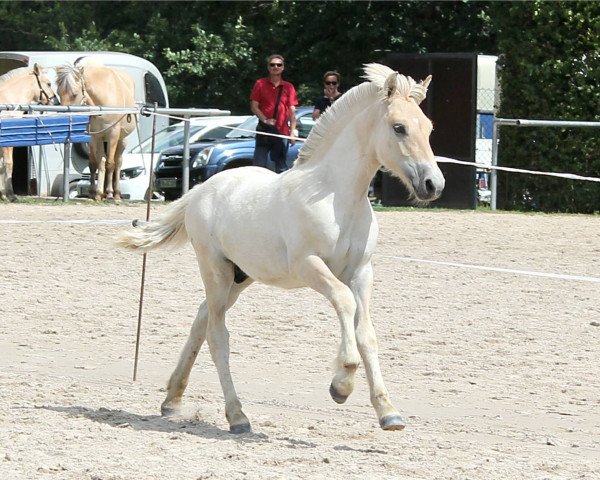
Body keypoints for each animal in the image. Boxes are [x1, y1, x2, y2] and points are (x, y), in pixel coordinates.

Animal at [55, 58, 136, 201]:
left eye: (74, 94)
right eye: (59, 93)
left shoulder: (112, 135)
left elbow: (110, 164)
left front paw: (108, 193)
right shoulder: (96, 137)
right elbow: (97, 164)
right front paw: (97, 193)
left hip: (122, 140)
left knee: (118, 163)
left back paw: (116, 193)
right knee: (97, 162)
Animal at [115, 62, 442, 434]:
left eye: (428, 127)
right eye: (398, 127)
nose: (433, 184)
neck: (336, 197)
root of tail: (200, 191)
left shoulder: (361, 271)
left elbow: (367, 333)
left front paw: (388, 412)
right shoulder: (309, 265)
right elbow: (343, 301)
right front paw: (341, 385)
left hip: (240, 277)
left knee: (201, 320)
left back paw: (172, 400)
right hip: (215, 271)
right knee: (217, 335)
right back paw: (237, 416)